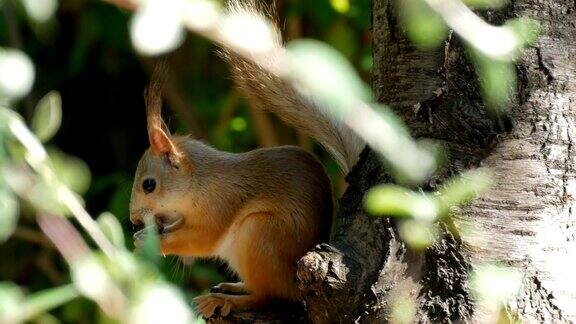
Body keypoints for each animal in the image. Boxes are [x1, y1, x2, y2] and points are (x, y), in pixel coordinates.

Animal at [130, 0, 364, 318]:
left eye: (149, 185)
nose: (132, 220)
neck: (199, 183)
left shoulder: (221, 204)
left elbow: (202, 240)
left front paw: (150, 241)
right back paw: (232, 287)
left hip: (260, 234)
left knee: (271, 297)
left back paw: (225, 300)